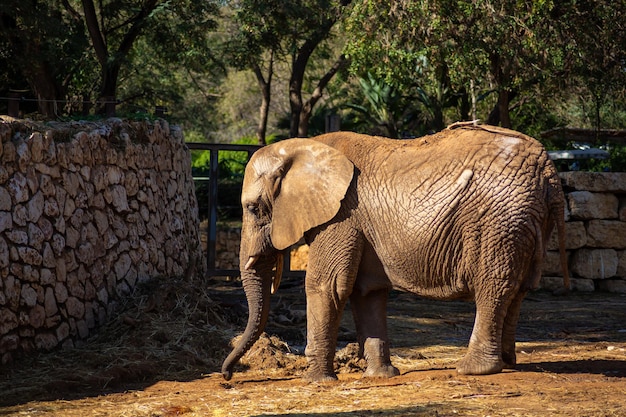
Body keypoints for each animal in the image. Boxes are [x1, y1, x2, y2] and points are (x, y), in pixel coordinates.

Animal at [222, 122, 568, 380]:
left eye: (253, 208)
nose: (227, 376)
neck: (304, 147)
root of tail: (549, 172)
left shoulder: (341, 216)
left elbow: (326, 286)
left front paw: (317, 381)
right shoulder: (356, 223)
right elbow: (366, 292)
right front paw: (381, 376)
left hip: (499, 222)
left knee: (493, 287)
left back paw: (474, 369)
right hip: (524, 223)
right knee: (519, 289)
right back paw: (508, 363)